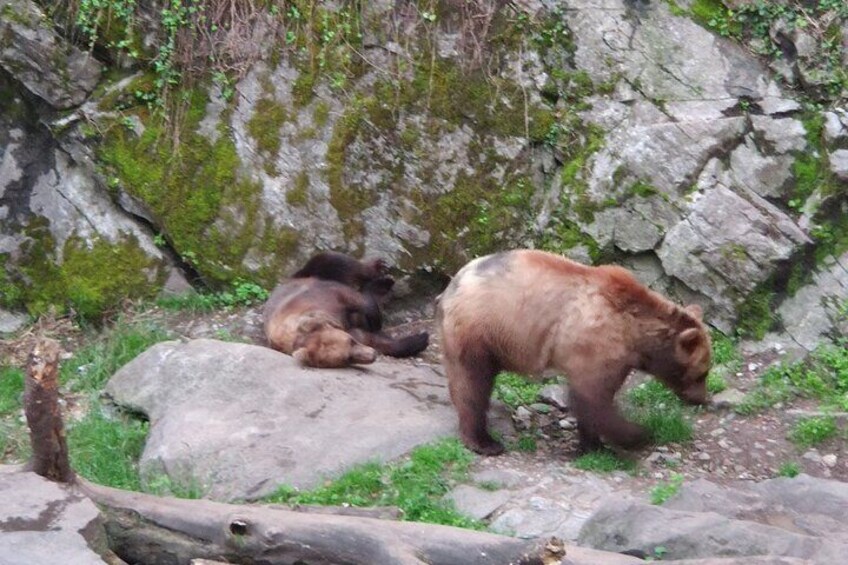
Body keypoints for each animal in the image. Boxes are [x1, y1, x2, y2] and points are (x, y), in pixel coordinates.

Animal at [264, 252, 428, 368]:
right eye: (346, 359)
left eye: (351, 342)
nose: (372, 355)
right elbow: (376, 339)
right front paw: (420, 339)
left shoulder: (327, 298)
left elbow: (359, 302)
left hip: (313, 274)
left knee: (336, 261)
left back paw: (380, 271)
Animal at [440, 249, 712, 456]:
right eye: (703, 373)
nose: (702, 399)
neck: (636, 334)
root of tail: (453, 283)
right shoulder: (598, 343)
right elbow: (593, 397)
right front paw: (637, 434)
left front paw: (594, 444)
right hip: (481, 330)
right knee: (472, 383)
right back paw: (484, 441)